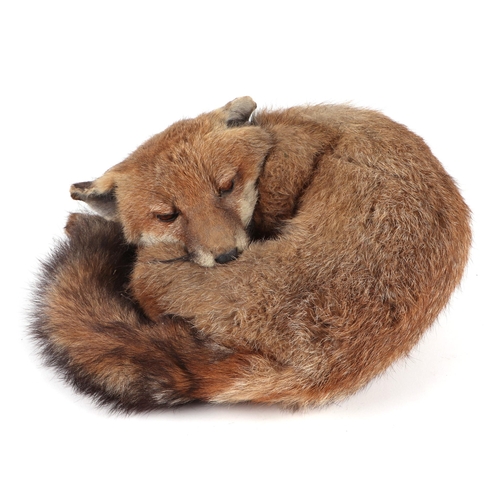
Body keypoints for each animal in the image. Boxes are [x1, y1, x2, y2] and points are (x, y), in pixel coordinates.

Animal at [30, 96, 468, 410]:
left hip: (155, 277)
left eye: (225, 186)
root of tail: (309, 370)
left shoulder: (295, 153)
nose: (225, 256)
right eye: (168, 214)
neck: (277, 132)